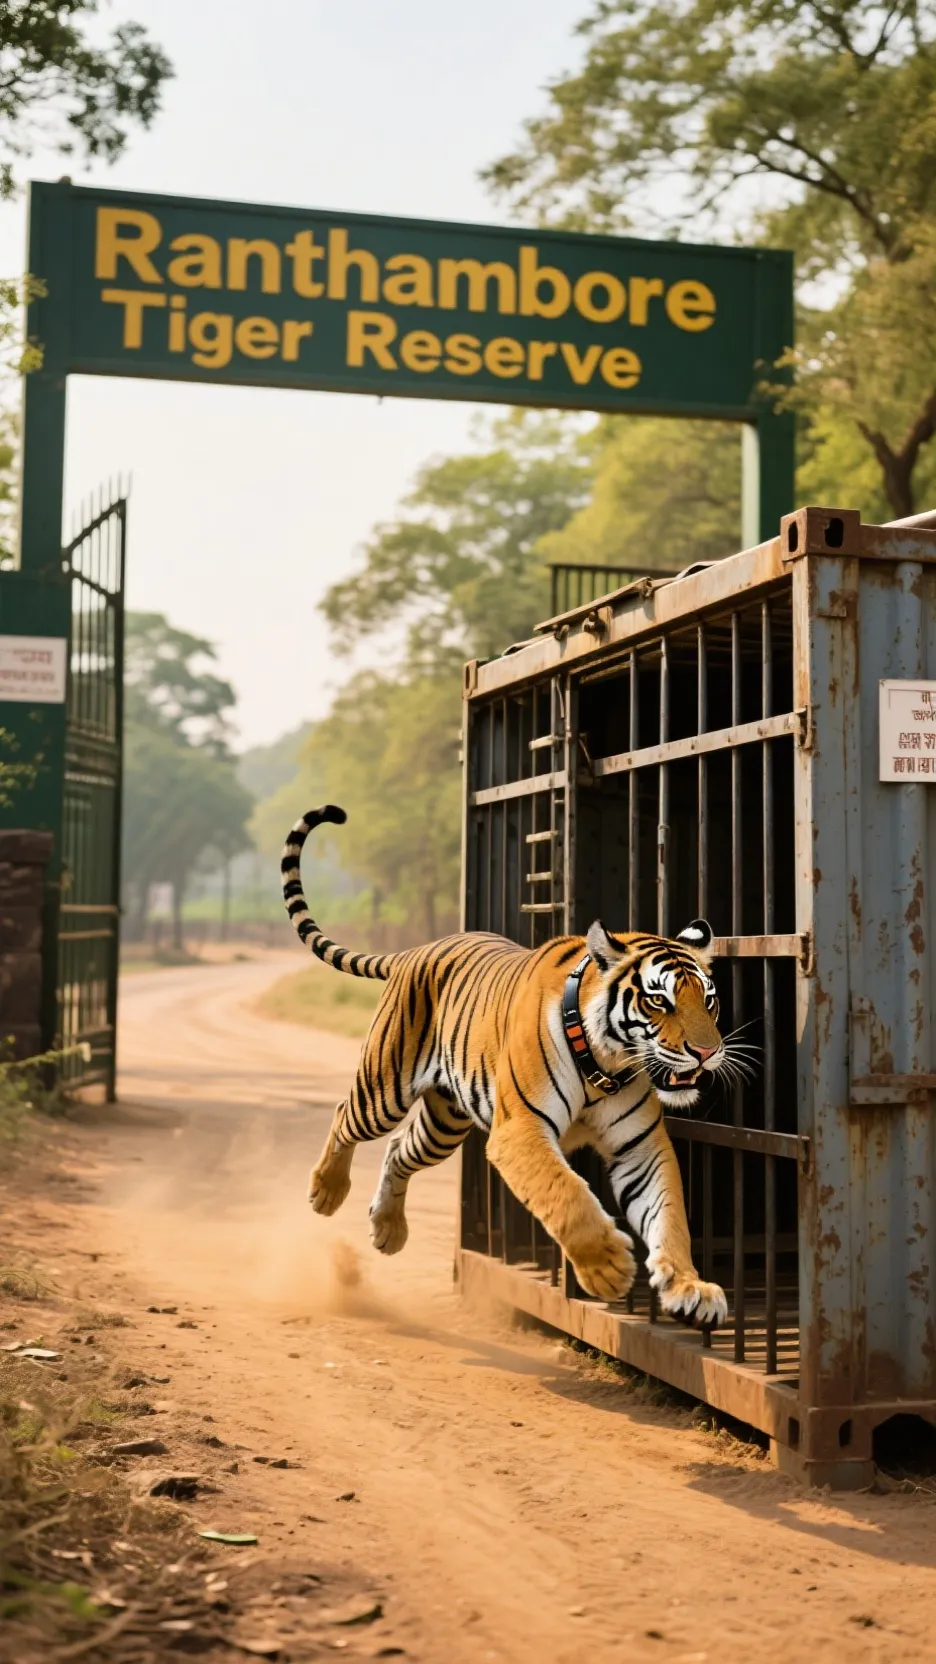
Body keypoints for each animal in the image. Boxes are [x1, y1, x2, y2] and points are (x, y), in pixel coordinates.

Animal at [282, 804, 731, 1329]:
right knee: (344, 1118)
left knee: (398, 1150)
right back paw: (326, 1191)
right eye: (659, 1001)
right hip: (384, 1088)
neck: (607, 1062)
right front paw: (608, 1269)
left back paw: (388, 1230)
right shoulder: (520, 1132)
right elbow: (566, 1194)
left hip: (443, 1123)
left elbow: (669, 1216)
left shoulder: (640, 1145)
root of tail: (417, 949)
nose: (707, 1052)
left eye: (708, 1001)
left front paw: (690, 1289)